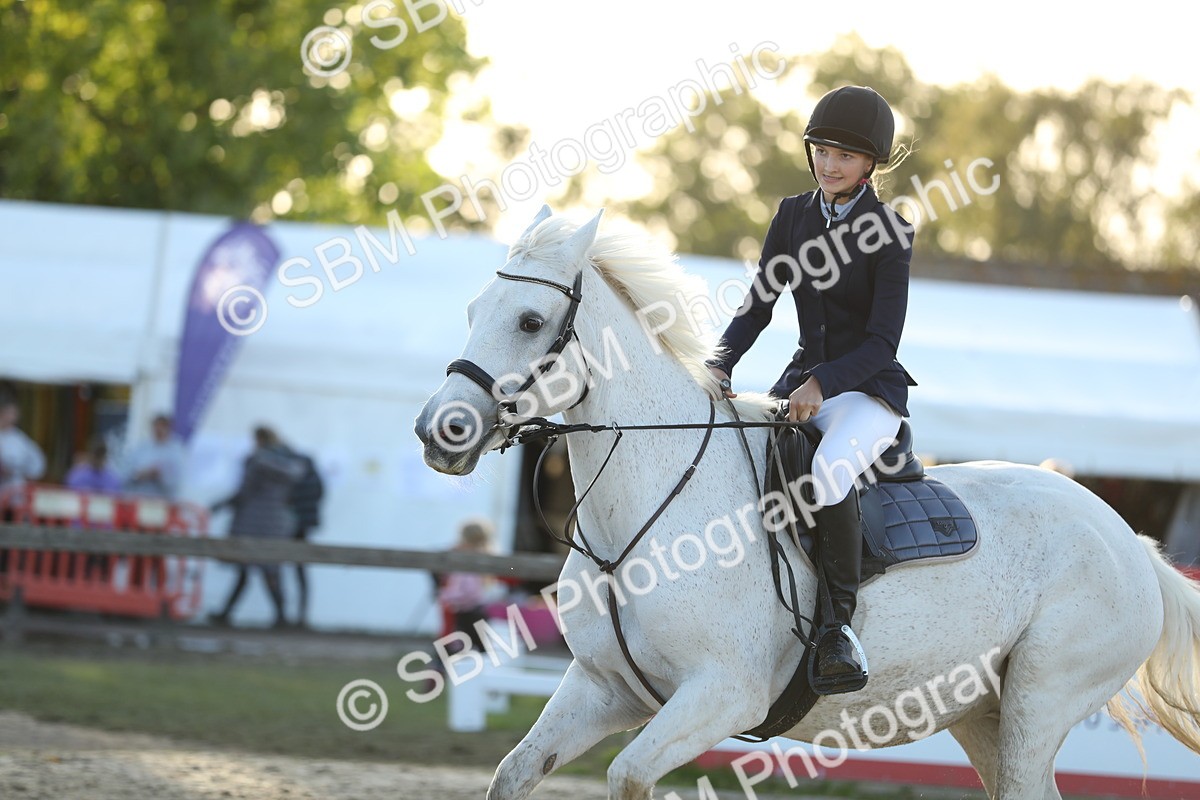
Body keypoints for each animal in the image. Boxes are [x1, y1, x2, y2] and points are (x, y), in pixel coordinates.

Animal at [414, 205, 1200, 800]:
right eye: (474, 310)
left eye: (529, 321)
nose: (437, 431)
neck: (635, 526)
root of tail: (1130, 543)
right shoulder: (604, 688)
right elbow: (514, 772)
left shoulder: (721, 697)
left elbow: (630, 777)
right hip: (983, 710)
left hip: (1041, 699)